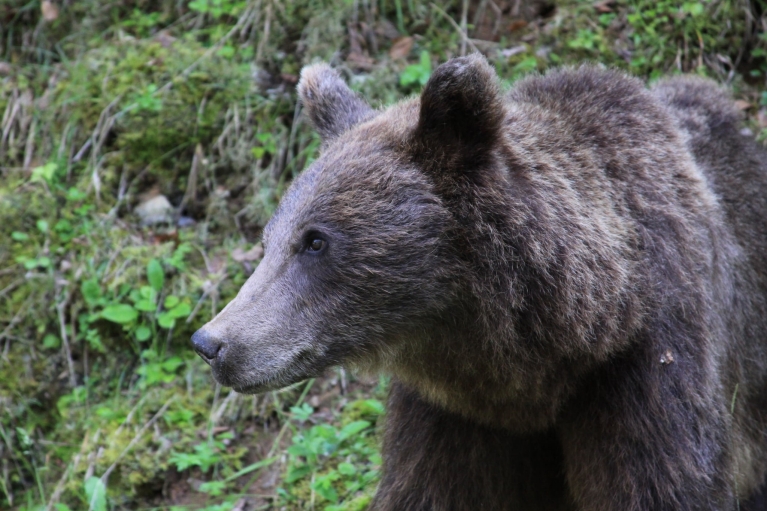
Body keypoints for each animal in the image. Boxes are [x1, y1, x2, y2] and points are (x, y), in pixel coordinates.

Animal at [191, 54, 767, 510]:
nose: (211, 342)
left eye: (314, 241)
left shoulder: (648, 369)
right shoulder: (458, 421)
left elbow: (662, 482)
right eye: (269, 239)